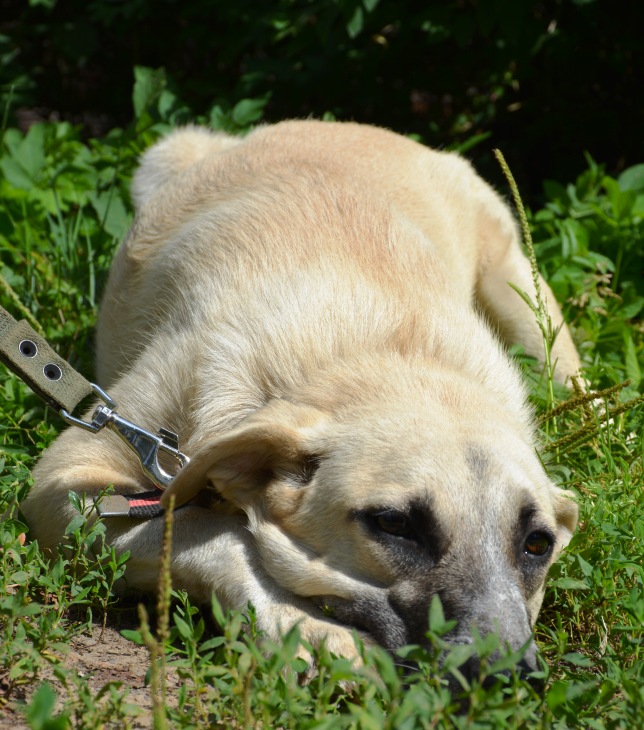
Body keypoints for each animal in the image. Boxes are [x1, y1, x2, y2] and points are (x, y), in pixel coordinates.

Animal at [22, 120, 580, 678]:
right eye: (394, 525)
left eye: (538, 544)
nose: (507, 677)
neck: (374, 351)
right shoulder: (69, 480)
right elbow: (215, 532)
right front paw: (311, 628)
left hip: (522, 296)